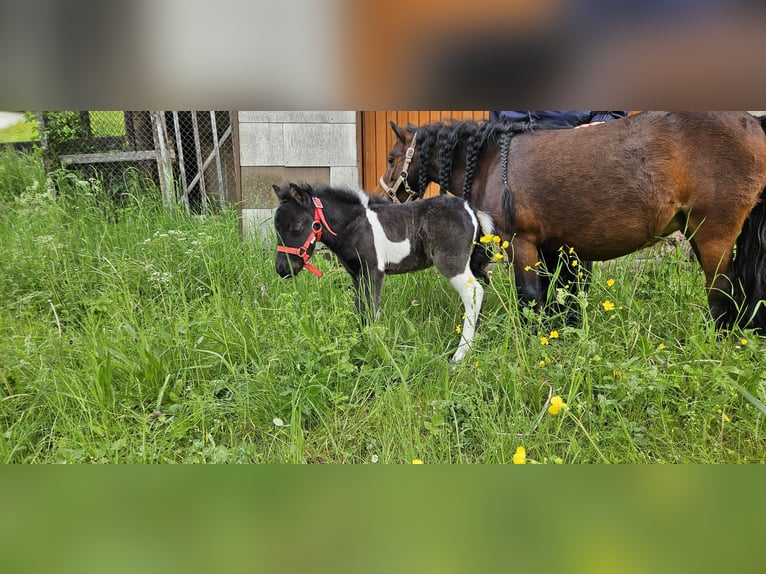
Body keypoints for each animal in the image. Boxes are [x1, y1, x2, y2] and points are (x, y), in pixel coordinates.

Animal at [272, 183, 496, 364]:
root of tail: (470, 209)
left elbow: (372, 311)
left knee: (473, 292)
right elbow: (360, 309)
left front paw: (374, 349)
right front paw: (361, 343)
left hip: (452, 262)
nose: (282, 269)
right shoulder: (356, 275)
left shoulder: (374, 272)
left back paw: (460, 355)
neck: (355, 227)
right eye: (276, 228)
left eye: (296, 227)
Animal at [380, 111, 766, 332]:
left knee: (722, 295)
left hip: (714, 236)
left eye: (391, 158)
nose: (382, 196)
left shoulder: (522, 243)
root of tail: (753, 123)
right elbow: (556, 295)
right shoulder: (550, 248)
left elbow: (530, 296)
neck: (491, 161)